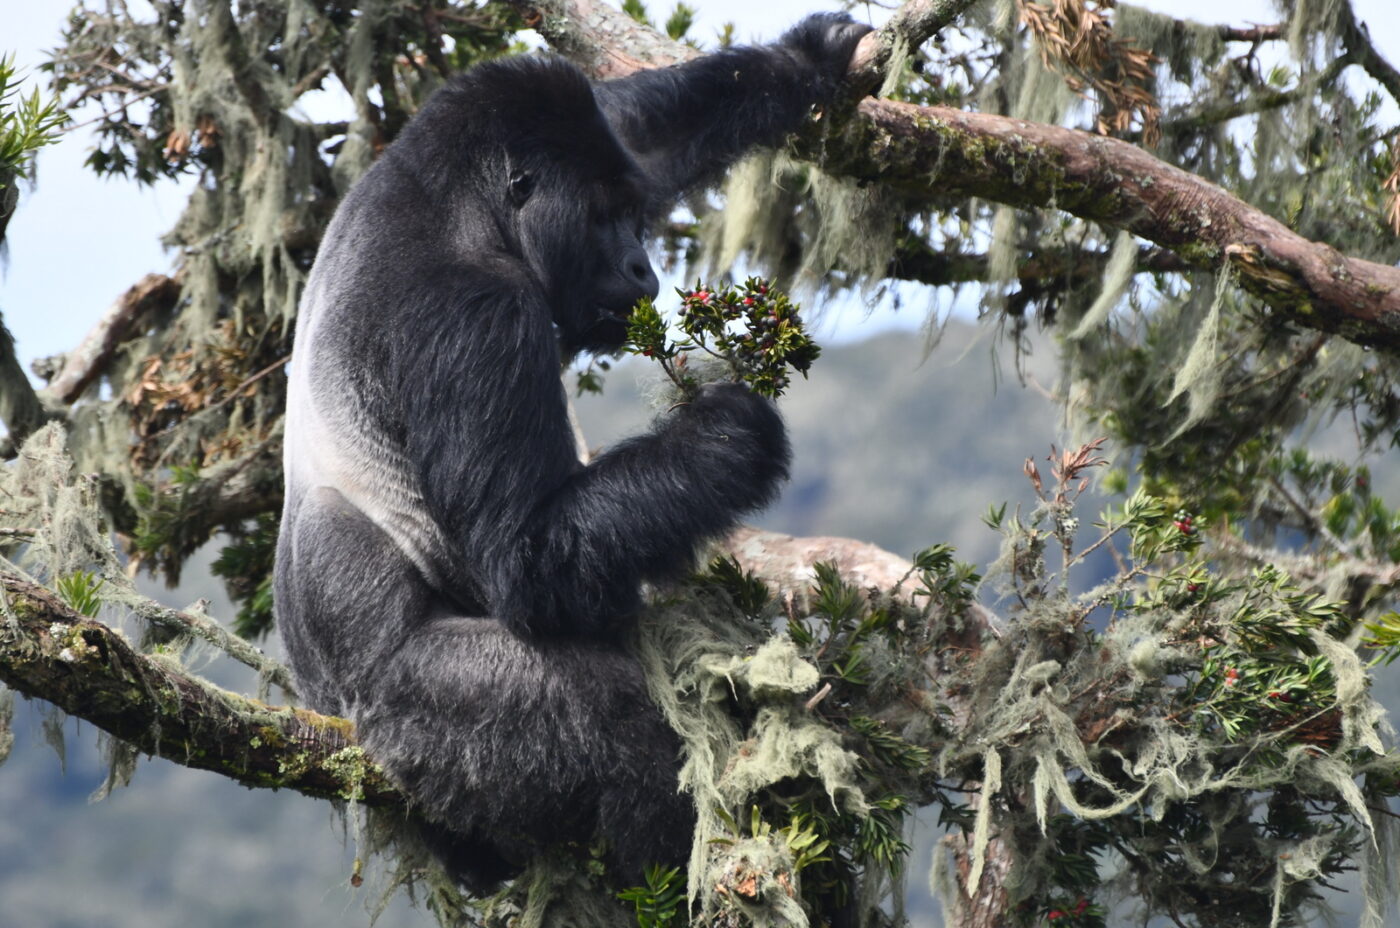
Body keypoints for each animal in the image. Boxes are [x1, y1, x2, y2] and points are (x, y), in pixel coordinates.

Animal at [275, 14, 873, 884]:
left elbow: (637, 128)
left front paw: (802, 59)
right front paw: (730, 437)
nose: (642, 269)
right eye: (601, 218)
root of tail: (331, 711)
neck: (457, 200)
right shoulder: (476, 313)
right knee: (611, 719)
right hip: (408, 716)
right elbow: (526, 559)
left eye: (633, 212)